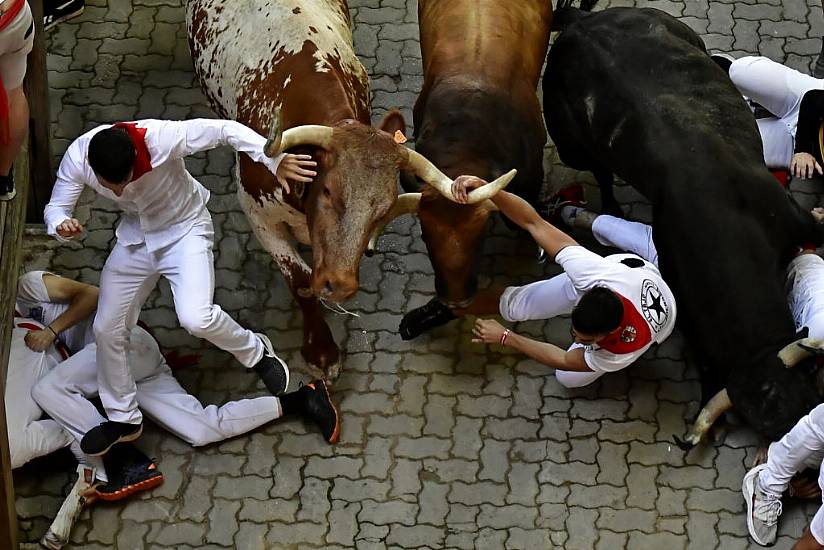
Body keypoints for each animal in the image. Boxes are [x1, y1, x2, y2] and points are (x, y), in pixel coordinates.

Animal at [188, 0, 516, 382]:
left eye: (383, 209)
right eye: (329, 191)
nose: (340, 284)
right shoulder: (258, 213)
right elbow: (300, 282)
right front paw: (321, 351)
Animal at [544, 4, 824, 442]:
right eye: (765, 422)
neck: (724, 220)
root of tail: (578, 22)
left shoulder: (800, 223)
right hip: (574, 145)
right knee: (600, 170)